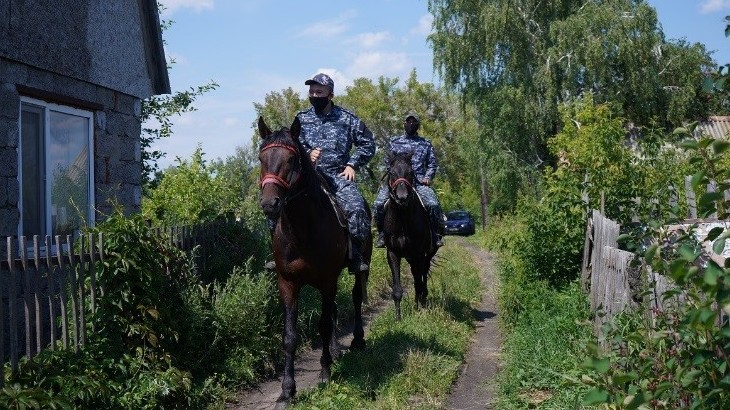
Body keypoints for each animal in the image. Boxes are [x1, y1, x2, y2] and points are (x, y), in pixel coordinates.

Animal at [258, 115, 370, 406]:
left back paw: (357, 342)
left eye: (291, 159)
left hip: (357, 268)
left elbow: (323, 324)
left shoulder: (327, 280)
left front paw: (325, 371)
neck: (302, 230)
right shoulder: (287, 283)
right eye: (262, 158)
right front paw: (287, 391)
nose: (270, 204)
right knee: (333, 310)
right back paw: (335, 351)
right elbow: (290, 336)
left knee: (355, 298)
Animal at [378, 151, 436, 320]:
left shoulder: (419, 254)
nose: (402, 197)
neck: (402, 220)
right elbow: (397, 289)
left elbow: (418, 282)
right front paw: (398, 318)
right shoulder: (392, 253)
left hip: (427, 255)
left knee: (422, 275)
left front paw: (419, 309)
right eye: (391, 172)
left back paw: (422, 300)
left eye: (410, 172)